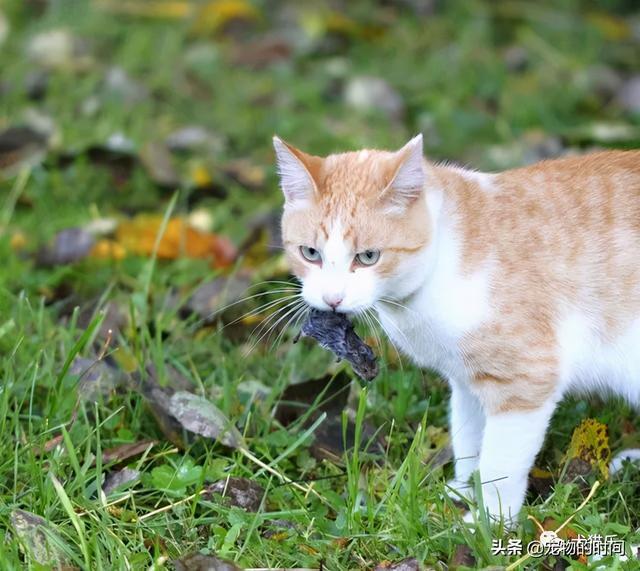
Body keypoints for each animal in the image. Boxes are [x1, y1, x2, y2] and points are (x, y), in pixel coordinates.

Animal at [272, 132, 640, 524]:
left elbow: (499, 464)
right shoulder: (465, 381)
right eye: (310, 253)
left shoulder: (526, 380)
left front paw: (488, 522)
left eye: (368, 257)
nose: (332, 299)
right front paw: (462, 491)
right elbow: (468, 440)